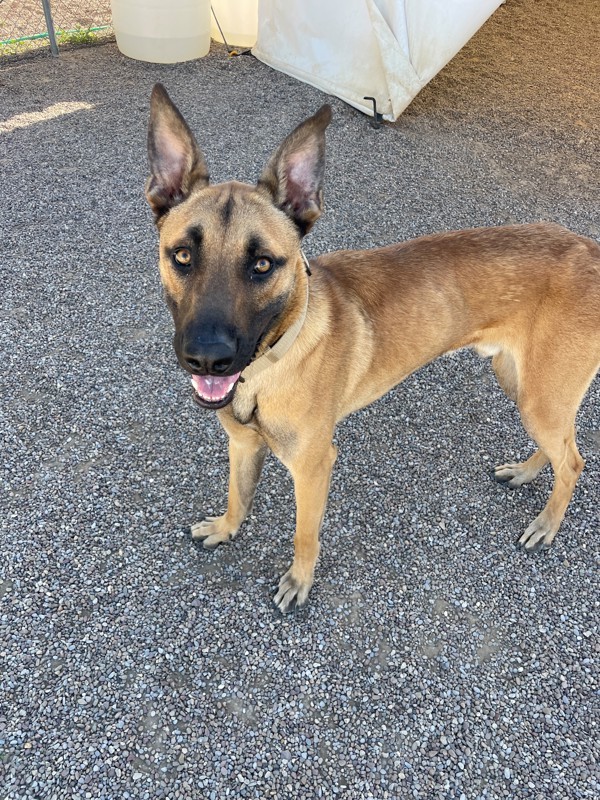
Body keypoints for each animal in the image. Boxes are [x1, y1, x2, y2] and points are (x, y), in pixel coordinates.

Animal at [145, 84, 600, 612]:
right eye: (182, 255)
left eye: (261, 264)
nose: (207, 357)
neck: (269, 365)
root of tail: (591, 250)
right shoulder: (241, 444)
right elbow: (238, 496)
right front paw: (226, 528)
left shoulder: (313, 466)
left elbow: (304, 534)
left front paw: (299, 580)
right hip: (522, 385)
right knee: (561, 446)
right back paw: (527, 474)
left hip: (541, 397)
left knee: (573, 460)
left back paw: (547, 524)